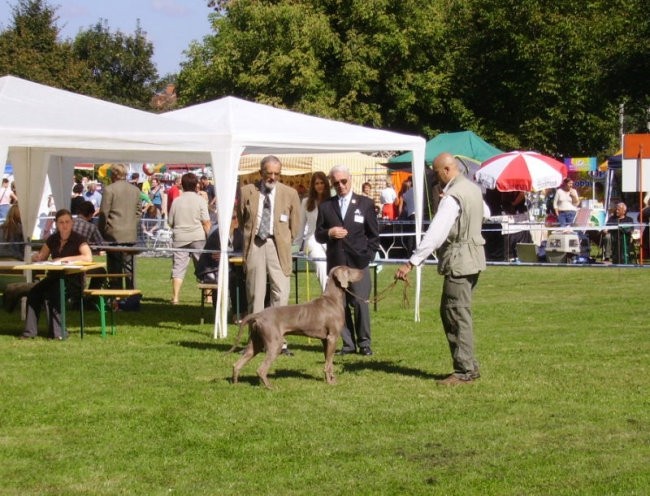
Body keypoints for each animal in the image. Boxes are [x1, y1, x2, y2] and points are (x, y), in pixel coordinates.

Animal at [229, 266, 362, 390]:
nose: (362, 272)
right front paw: (330, 382)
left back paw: (236, 384)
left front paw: (331, 379)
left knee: (236, 364)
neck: (332, 299)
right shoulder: (332, 338)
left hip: (256, 343)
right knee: (261, 369)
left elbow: (329, 362)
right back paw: (270, 387)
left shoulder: (325, 340)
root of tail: (258, 315)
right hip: (275, 343)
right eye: (349, 270)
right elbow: (328, 364)